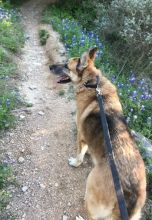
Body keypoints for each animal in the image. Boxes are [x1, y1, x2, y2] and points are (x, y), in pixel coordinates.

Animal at [49, 48, 146, 220]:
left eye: (66, 65)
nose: (50, 67)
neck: (92, 83)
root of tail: (130, 194)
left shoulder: (80, 135)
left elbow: (80, 155)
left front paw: (76, 162)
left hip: (90, 190)